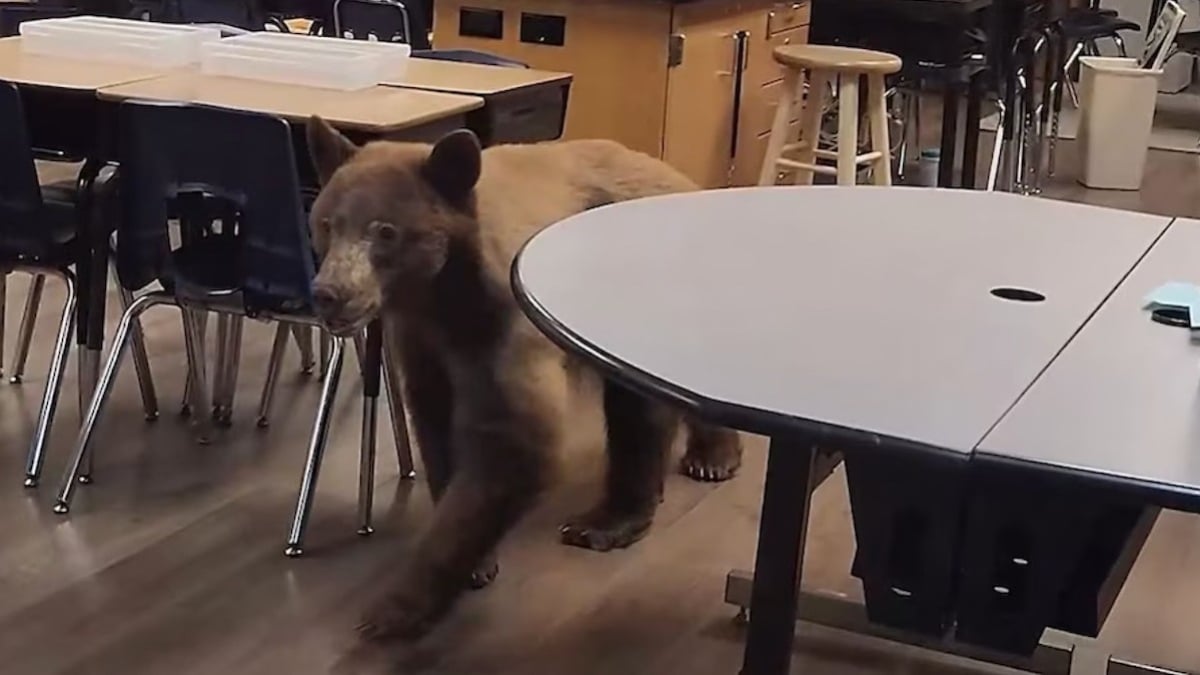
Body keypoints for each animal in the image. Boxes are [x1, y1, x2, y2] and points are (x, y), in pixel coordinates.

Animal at [304, 117, 744, 638]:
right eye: (326, 223)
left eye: (386, 231)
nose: (329, 292)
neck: (443, 294)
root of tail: (679, 177)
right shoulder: (423, 343)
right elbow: (436, 424)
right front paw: (476, 562)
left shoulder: (504, 325)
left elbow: (513, 440)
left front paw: (395, 606)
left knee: (647, 402)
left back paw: (643, 498)